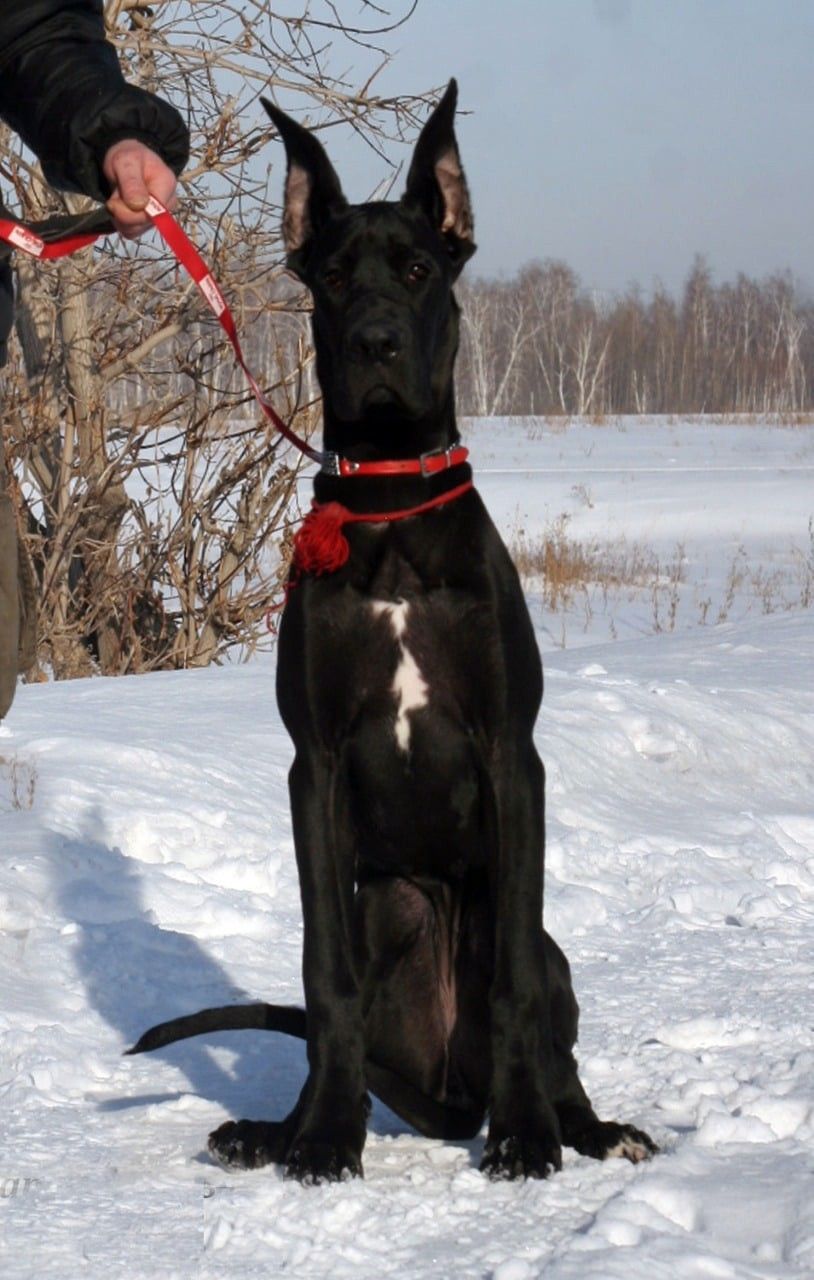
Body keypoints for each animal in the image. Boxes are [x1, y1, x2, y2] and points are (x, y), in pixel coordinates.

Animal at [128, 80, 656, 1184]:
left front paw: (528, 1136)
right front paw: (325, 1136)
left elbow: (514, 987)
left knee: (545, 1012)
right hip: (385, 906)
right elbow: (321, 977)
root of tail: (446, 1099)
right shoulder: (314, 766)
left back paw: (584, 1125)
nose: (374, 343)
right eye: (333, 278)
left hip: (524, 932)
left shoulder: (511, 754)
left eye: (416, 270)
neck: (391, 503)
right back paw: (271, 1128)